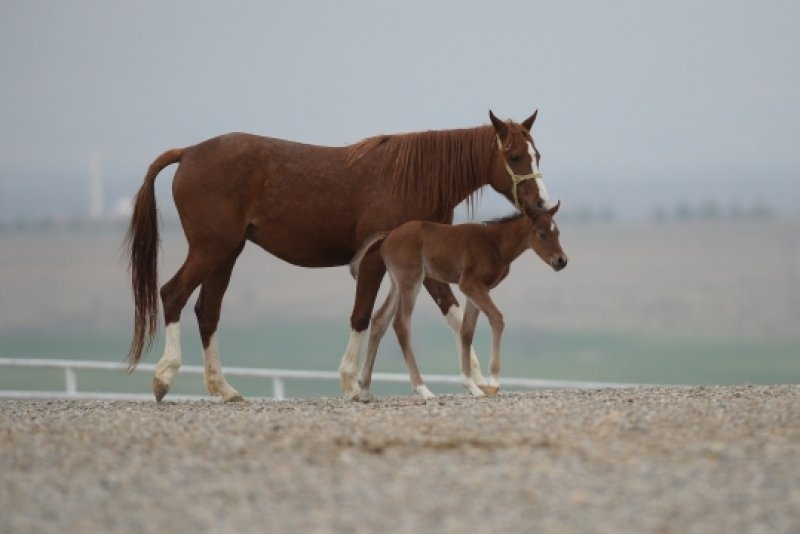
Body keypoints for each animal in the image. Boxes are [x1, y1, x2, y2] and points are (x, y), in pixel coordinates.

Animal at [352, 203, 568, 400]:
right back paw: (423, 389)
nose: (561, 261)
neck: (495, 244)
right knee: (401, 324)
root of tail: (389, 235)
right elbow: (497, 318)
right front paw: (493, 382)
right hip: (410, 279)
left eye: (557, 233)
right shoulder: (470, 284)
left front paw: (471, 385)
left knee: (380, 319)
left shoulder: (479, 288)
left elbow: (467, 330)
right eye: (542, 234)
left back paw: (365, 388)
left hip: (396, 282)